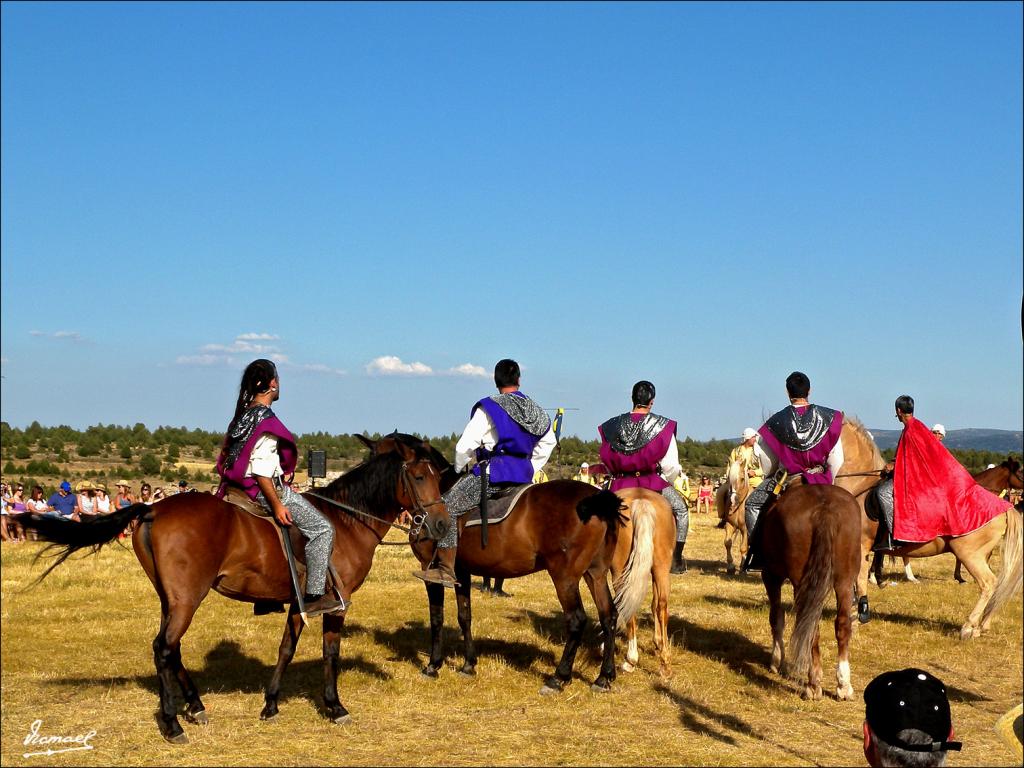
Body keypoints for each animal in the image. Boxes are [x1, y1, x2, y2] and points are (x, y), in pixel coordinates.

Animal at [18, 438, 452, 745]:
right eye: (418, 477)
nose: (442, 524)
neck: (345, 521)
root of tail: (152, 508)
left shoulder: (300, 601)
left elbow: (286, 648)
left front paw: (271, 703)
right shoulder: (336, 604)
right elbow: (330, 653)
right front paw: (334, 706)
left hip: (171, 599)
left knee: (172, 648)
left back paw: (195, 706)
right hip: (187, 598)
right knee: (163, 648)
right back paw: (173, 723)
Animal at [380, 434, 626, 696]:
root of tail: (598, 498)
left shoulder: (430, 569)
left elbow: (437, 617)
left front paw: (433, 665)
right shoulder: (461, 573)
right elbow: (464, 615)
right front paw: (468, 664)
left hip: (565, 577)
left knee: (577, 620)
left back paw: (558, 677)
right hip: (595, 574)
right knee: (609, 615)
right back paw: (604, 677)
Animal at [610, 489, 675, 675]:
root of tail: (641, 501)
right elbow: (654, 605)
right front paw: (658, 642)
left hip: (619, 572)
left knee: (628, 607)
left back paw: (631, 660)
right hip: (661, 567)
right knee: (662, 606)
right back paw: (665, 662)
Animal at [761, 487, 864, 704]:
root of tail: (825, 508)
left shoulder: (770, 575)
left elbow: (776, 617)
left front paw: (776, 659)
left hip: (801, 581)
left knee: (810, 626)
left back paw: (813, 683)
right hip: (845, 578)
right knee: (842, 624)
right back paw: (843, 685)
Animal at [839, 421, 1024, 638]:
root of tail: (1004, 507)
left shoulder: (860, 548)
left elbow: (857, 581)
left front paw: (855, 617)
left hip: (970, 554)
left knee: (989, 583)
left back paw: (970, 626)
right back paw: (981, 624)